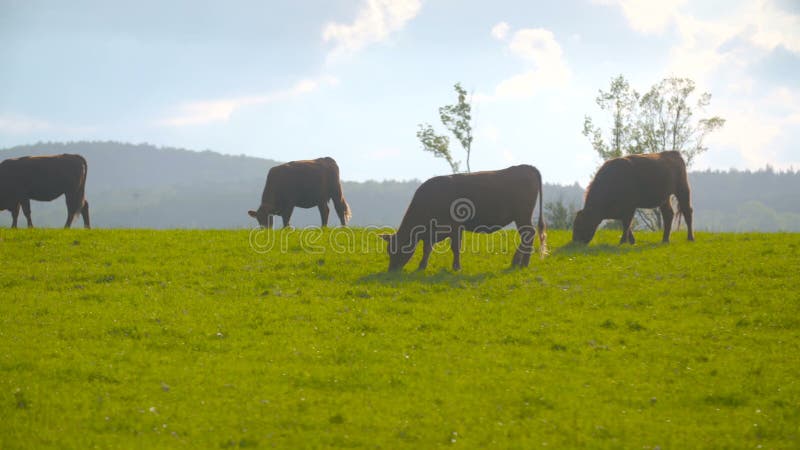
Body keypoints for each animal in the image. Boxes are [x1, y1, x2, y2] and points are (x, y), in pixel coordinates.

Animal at [380, 164, 544, 272]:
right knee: (528, 235)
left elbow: (455, 248)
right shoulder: (431, 232)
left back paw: (519, 263)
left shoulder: (455, 227)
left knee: (528, 234)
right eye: (389, 250)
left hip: (522, 215)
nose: (391, 270)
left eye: (400, 248)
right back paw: (521, 263)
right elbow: (427, 249)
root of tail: (527, 167)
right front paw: (421, 266)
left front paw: (456, 267)